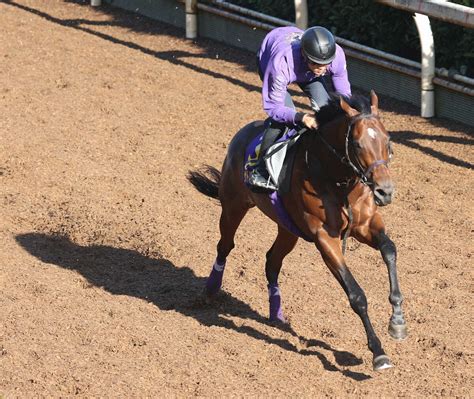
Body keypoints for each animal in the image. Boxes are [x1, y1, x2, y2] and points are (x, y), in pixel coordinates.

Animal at [189, 91, 408, 372]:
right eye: (358, 144)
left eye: (388, 141)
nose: (385, 191)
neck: (336, 180)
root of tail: (242, 133)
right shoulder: (325, 238)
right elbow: (357, 295)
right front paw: (378, 352)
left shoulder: (366, 225)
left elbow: (390, 249)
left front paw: (398, 321)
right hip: (233, 205)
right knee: (225, 246)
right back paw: (210, 290)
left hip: (287, 228)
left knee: (272, 261)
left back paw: (277, 314)